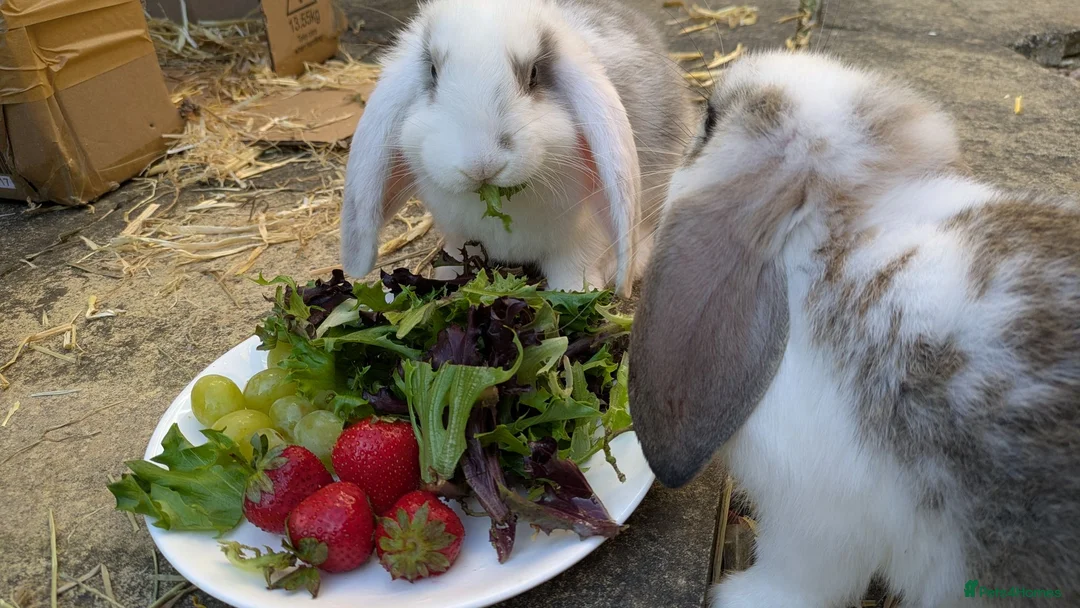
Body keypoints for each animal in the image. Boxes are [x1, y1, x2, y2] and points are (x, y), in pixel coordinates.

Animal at [340, 0, 695, 296]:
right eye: (432, 72)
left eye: (534, 73)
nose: (481, 165)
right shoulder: (457, 236)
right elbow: (454, 258)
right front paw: (441, 280)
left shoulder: (580, 240)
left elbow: (573, 270)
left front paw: (577, 292)